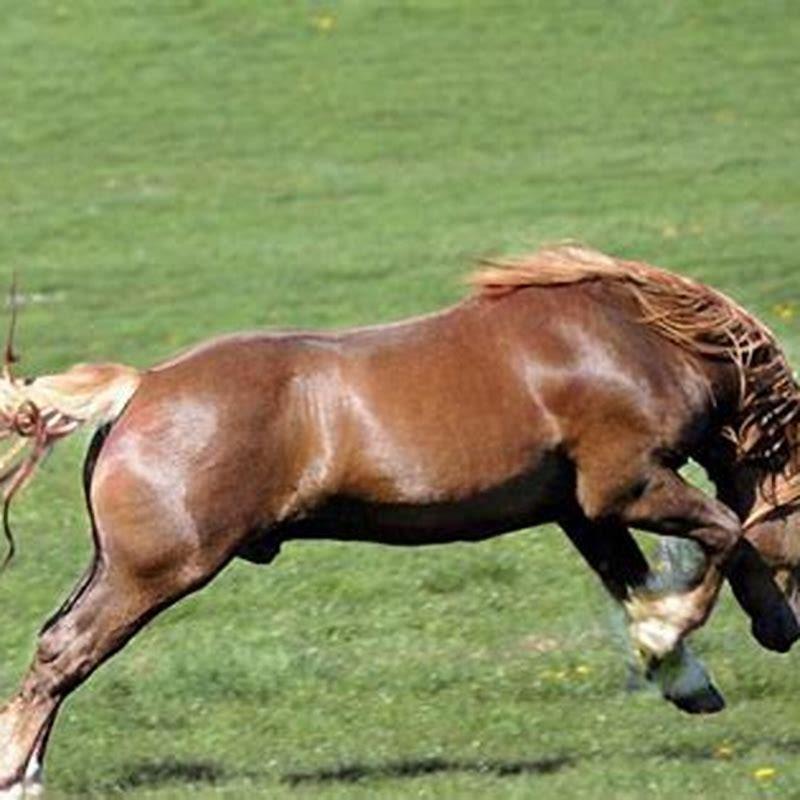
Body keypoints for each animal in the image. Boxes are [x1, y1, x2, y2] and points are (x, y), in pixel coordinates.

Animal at [0, 245, 798, 796]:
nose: (789, 628)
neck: (639, 341)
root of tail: (143, 387)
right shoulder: (624, 486)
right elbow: (726, 534)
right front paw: (691, 636)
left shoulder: (581, 510)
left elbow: (634, 582)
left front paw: (683, 677)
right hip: (159, 569)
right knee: (65, 652)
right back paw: (16, 775)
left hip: (116, 564)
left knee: (56, 645)